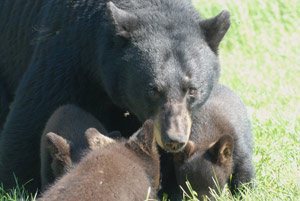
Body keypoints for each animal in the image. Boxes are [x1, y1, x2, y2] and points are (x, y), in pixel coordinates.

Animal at [0, 0, 230, 192]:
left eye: (192, 90)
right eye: (153, 89)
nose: (173, 139)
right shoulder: (66, 54)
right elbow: (32, 120)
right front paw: (19, 185)